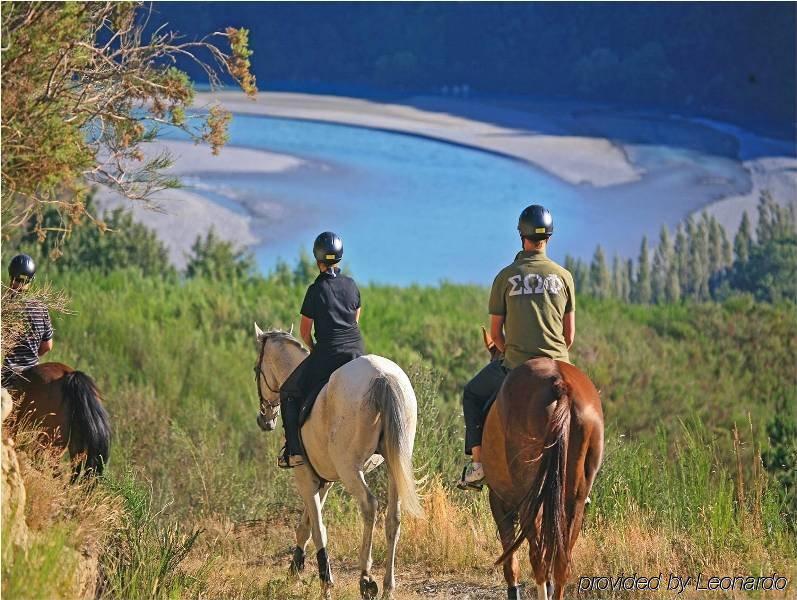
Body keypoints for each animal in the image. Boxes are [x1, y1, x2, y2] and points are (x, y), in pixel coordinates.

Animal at [252, 326, 426, 596]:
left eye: (255, 370)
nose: (265, 420)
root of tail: (383, 377)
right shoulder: (324, 479)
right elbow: (306, 526)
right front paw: (294, 570)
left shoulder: (305, 476)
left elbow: (317, 529)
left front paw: (325, 582)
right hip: (395, 462)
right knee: (393, 518)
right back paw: (388, 586)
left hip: (350, 469)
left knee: (369, 505)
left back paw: (366, 577)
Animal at [478, 332, 604, 600]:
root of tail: (560, 385)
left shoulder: (499, 499)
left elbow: (510, 557)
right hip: (574, 499)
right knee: (561, 562)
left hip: (528, 497)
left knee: (537, 557)